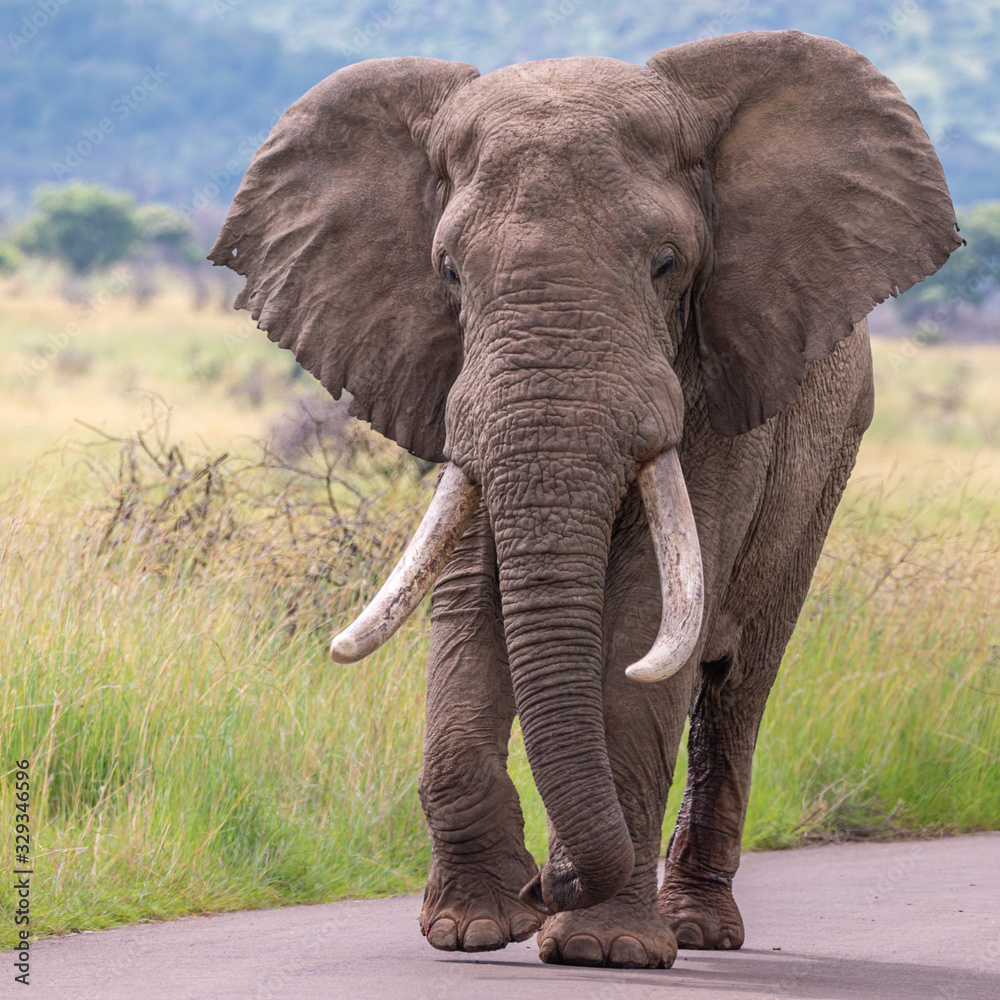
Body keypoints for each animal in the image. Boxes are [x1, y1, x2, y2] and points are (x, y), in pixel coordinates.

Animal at [211, 30, 961, 969]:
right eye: (449, 273)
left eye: (667, 265)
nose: (545, 885)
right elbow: (469, 602)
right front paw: (472, 929)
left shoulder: (716, 391)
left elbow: (646, 624)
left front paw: (601, 949)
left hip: (826, 464)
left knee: (738, 687)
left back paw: (697, 929)